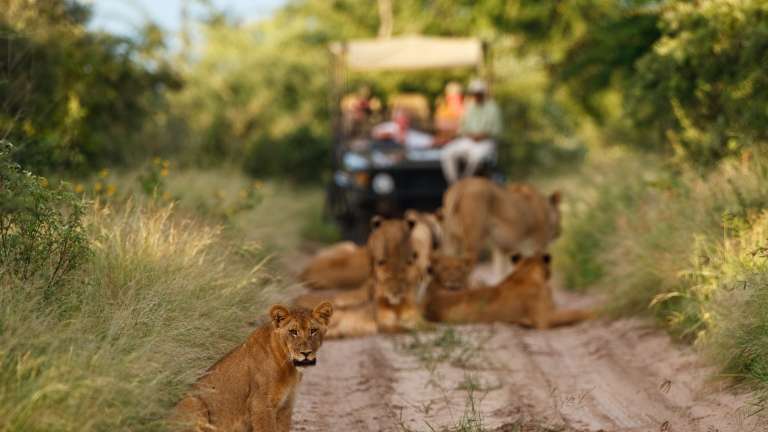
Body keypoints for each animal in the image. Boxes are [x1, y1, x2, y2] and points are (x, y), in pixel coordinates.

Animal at [173, 301, 333, 432]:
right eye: (293, 332)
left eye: (313, 331)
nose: (306, 353)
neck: (289, 367)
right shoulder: (260, 405)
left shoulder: (286, 406)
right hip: (193, 401)